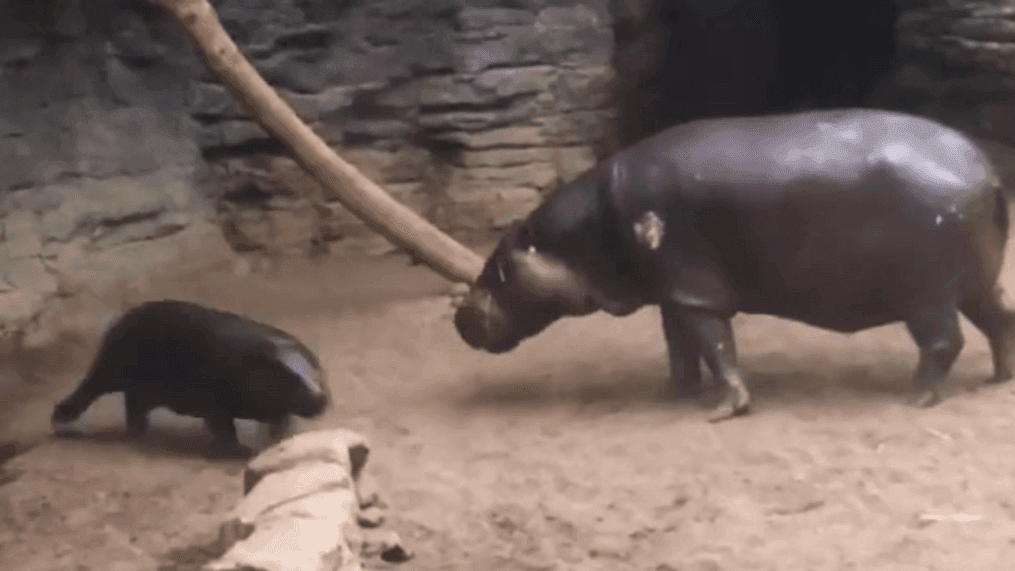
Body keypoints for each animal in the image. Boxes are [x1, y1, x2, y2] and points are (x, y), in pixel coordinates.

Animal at [51, 302, 330, 454]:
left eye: (319, 371)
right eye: (291, 379)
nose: (321, 398)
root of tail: (119, 322)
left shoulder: (273, 409)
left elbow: (278, 426)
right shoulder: (216, 404)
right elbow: (225, 431)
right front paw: (241, 451)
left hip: (140, 388)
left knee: (133, 407)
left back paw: (139, 434)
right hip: (110, 372)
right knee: (89, 392)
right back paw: (62, 419)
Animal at [454, 109, 1015, 421]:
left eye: (499, 265)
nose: (459, 315)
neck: (580, 236)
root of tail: (986, 171)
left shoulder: (696, 293)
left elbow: (717, 346)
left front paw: (724, 411)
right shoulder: (674, 294)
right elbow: (678, 346)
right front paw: (673, 394)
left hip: (927, 296)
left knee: (944, 342)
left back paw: (914, 401)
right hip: (975, 283)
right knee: (1000, 321)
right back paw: (998, 380)